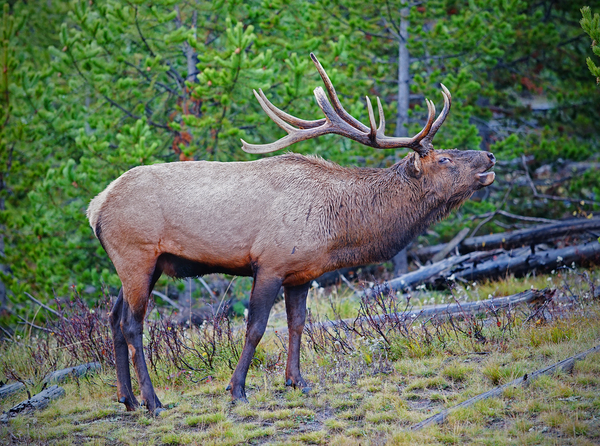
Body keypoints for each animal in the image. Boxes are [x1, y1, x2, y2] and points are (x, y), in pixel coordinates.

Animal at [86, 54, 494, 412]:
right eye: (444, 159)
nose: (489, 156)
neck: (339, 230)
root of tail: (95, 207)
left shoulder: (303, 272)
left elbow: (297, 324)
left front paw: (297, 381)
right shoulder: (270, 263)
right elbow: (256, 328)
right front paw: (237, 389)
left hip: (144, 266)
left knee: (113, 319)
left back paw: (128, 399)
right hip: (137, 256)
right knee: (132, 325)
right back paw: (153, 402)